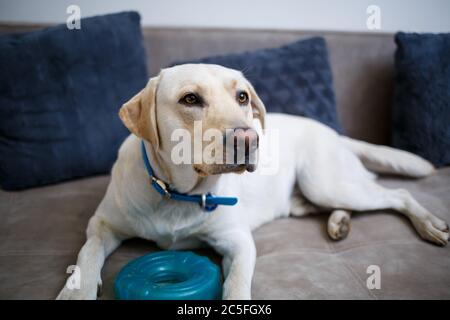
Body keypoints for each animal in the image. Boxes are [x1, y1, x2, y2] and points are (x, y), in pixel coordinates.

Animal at [58, 63, 448, 300]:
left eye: (242, 97)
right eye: (190, 98)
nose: (249, 139)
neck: (179, 194)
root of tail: (335, 133)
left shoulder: (238, 242)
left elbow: (236, 283)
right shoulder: (102, 224)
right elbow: (86, 254)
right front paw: (75, 291)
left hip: (326, 183)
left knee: (399, 194)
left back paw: (429, 224)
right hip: (311, 197)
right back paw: (339, 223)